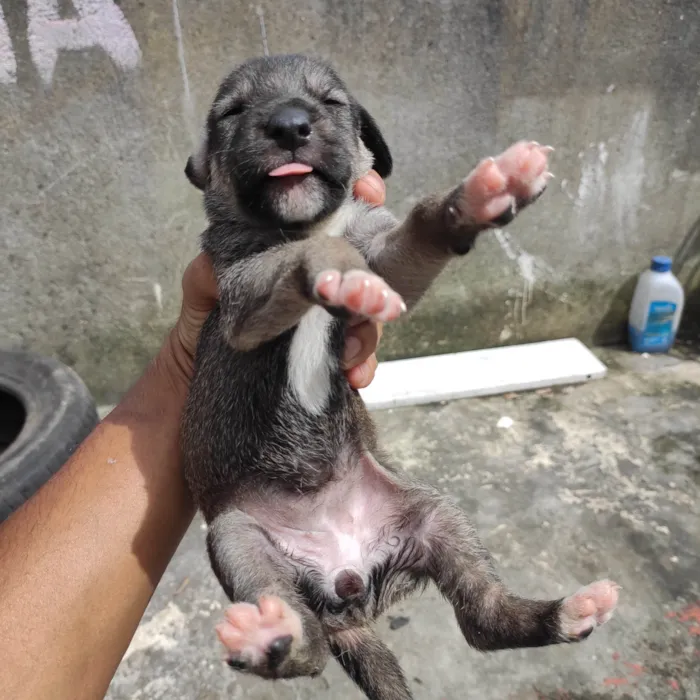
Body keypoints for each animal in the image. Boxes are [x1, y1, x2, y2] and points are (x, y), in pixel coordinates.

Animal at [180, 56, 616, 700]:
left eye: (331, 102)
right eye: (233, 112)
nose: (289, 125)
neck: (307, 224)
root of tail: (346, 585)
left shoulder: (384, 254)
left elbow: (410, 235)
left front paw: (476, 198)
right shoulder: (239, 296)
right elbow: (293, 264)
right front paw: (330, 267)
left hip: (436, 519)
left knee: (482, 618)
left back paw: (565, 613)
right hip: (240, 541)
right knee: (307, 647)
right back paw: (270, 637)